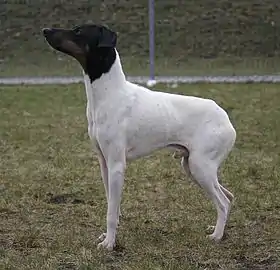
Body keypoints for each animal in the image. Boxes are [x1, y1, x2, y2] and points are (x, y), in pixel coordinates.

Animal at [42, 23, 236, 251]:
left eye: (79, 32)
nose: (45, 30)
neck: (109, 94)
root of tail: (226, 119)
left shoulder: (117, 165)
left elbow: (111, 212)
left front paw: (109, 244)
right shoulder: (104, 164)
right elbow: (112, 205)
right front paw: (108, 236)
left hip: (200, 167)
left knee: (223, 202)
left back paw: (216, 236)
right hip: (191, 167)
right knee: (227, 197)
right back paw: (218, 230)